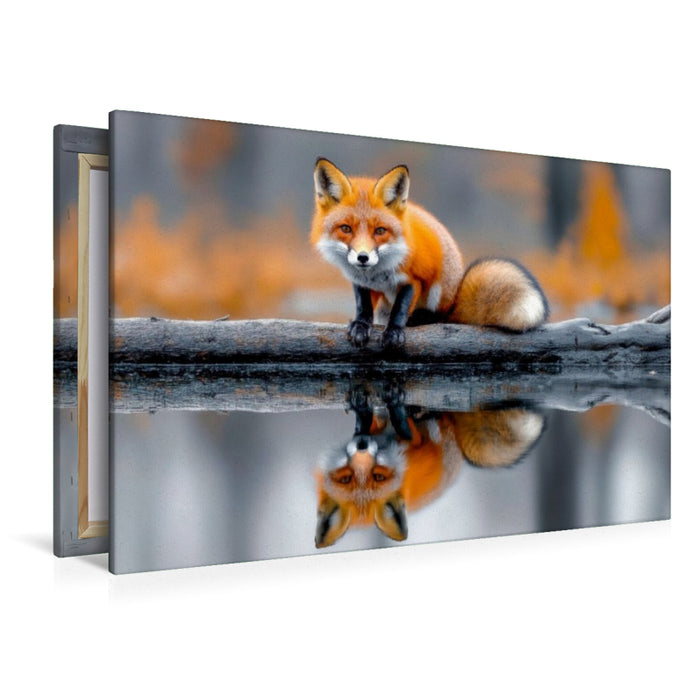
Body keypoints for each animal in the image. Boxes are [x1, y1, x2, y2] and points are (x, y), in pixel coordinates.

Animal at [310, 158, 549, 349]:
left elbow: (400, 308)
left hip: (440, 288)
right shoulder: (360, 282)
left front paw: (394, 332)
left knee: (439, 318)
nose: (362, 257)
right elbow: (364, 306)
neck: (375, 274)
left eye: (379, 231)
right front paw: (360, 325)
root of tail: (454, 301)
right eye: (346, 229)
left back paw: (421, 318)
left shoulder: (414, 279)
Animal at [315, 387, 546, 548]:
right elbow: (377, 423)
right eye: (347, 478)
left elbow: (398, 426)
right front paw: (368, 406)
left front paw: (383, 403)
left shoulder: (413, 442)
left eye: (377, 477)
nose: (362, 445)